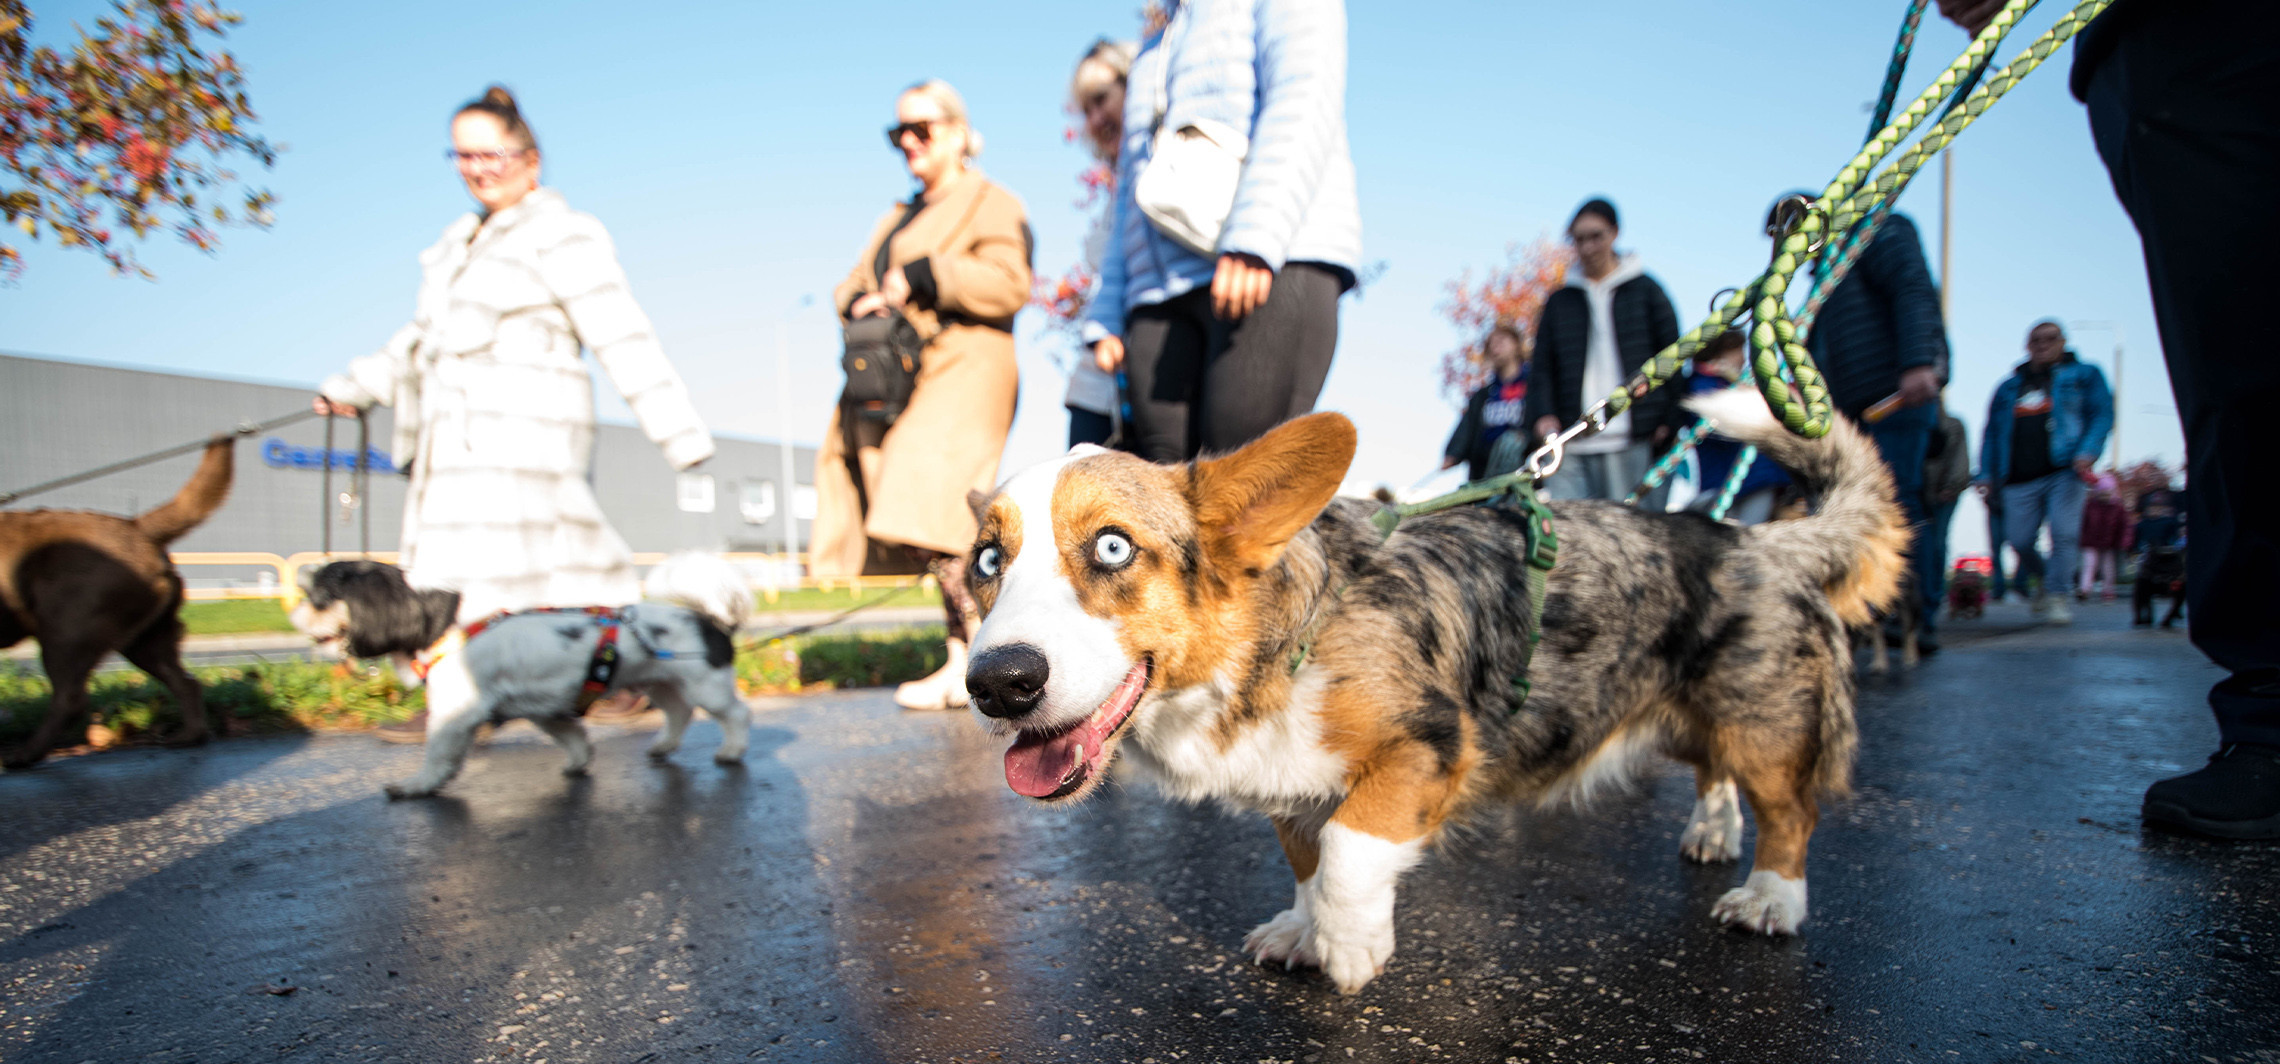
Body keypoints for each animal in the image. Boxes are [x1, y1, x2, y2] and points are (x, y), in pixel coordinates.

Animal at [1, 437, 231, 770]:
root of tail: (136, 526)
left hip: (66, 630)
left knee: (70, 698)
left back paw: (26, 754)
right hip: (145, 638)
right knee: (185, 682)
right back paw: (189, 735)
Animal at [289, 553, 756, 797]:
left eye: (318, 598)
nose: (293, 613)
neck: (444, 625)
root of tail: (710, 620)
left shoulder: (456, 711)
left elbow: (438, 753)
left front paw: (418, 784)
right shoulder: (544, 706)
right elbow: (572, 736)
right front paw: (578, 761)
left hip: (706, 686)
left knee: (735, 715)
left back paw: (733, 750)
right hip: (660, 682)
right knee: (678, 713)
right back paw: (664, 745)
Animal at [957, 394, 1906, 997]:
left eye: (1114, 548)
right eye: (987, 561)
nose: (996, 682)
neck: (1276, 644)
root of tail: (1768, 541)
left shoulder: (1429, 745)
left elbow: (1348, 848)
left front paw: (1347, 949)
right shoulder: (1295, 784)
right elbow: (1307, 860)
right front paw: (1302, 932)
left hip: (1764, 724)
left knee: (1789, 810)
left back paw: (1771, 896)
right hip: (1687, 715)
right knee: (1712, 771)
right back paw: (1712, 832)